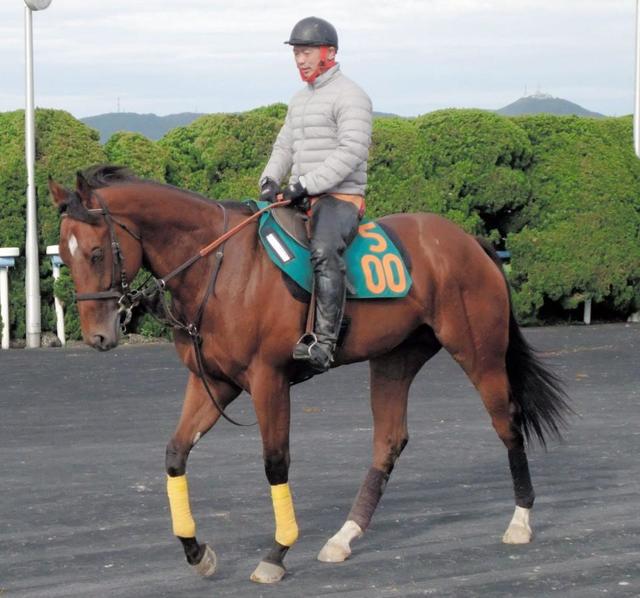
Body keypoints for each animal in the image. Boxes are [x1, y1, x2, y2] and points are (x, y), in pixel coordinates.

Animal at [50, 165, 568, 584]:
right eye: (65, 255)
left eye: (96, 252)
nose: (98, 336)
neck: (220, 266)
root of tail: (468, 242)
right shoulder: (213, 381)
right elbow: (175, 454)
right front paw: (198, 552)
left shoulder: (268, 380)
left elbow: (275, 463)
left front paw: (276, 554)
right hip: (395, 360)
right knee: (389, 441)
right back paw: (345, 537)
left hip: (479, 352)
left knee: (507, 422)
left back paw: (520, 521)